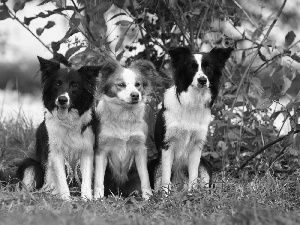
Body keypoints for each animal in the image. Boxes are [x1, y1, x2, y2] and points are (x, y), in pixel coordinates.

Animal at [16, 56, 101, 200]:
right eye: (57, 84)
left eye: (75, 85)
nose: (62, 100)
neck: (69, 122)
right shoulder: (55, 152)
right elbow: (61, 178)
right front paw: (66, 199)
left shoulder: (87, 150)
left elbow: (86, 179)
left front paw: (87, 199)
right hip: (30, 164)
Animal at [93, 59, 157, 199]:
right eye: (121, 84)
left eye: (138, 84)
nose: (135, 95)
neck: (124, 115)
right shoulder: (102, 150)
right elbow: (98, 179)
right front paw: (97, 198)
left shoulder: (140, 149)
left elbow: (145, 177)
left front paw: (148, 197)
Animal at [154, 46, 233, 192]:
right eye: (191, 68)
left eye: (208, 68)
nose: (202, 80)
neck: (192, 103)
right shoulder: (167, 145)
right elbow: (166, 177)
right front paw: (166, 195)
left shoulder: (197, 145)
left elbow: (193, 175)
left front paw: (192, 193)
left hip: (205, 163)